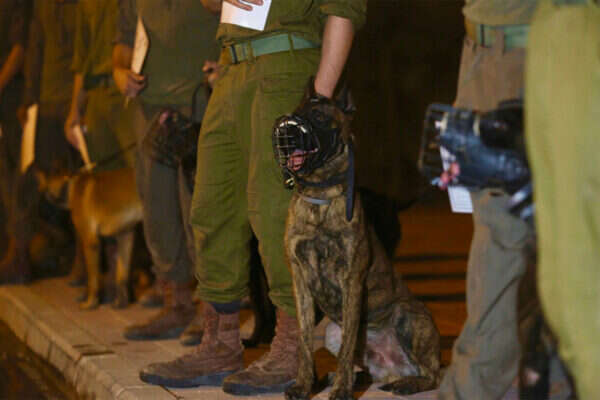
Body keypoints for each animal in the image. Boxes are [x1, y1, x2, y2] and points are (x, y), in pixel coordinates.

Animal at [36, 167, 143, 310]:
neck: (70, 185)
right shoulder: (125, 237)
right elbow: (122, 276)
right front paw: (121, 303)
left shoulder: (90, 242)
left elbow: (92, 278)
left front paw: (91, 302)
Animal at [274, 87, 441, 400]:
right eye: (296, 111)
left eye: (318, 117)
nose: (287, 129)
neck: (321, 196)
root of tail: (393, 366)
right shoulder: (300, 281)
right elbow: (304, 341)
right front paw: (304, 385)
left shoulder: (352, 280)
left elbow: (348, 345)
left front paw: (341, 390)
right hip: (331, 331)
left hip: (407, 316)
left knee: (434, 375)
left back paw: (406, 384)